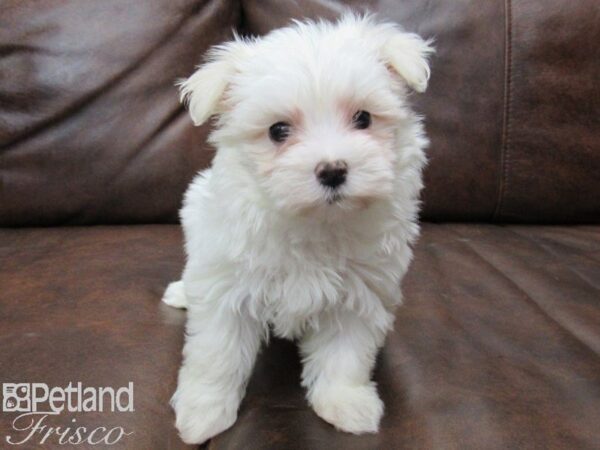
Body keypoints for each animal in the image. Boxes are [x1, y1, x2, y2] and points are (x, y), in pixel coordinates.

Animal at [163, 12, 432, 444]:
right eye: (278, 131)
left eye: (363, 118)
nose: (333, 170)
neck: (314, 222)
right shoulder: (228, 287)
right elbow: (217, 352)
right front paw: (202, 411)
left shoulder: (359, 291)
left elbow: (345, 352)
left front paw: (346, 403)